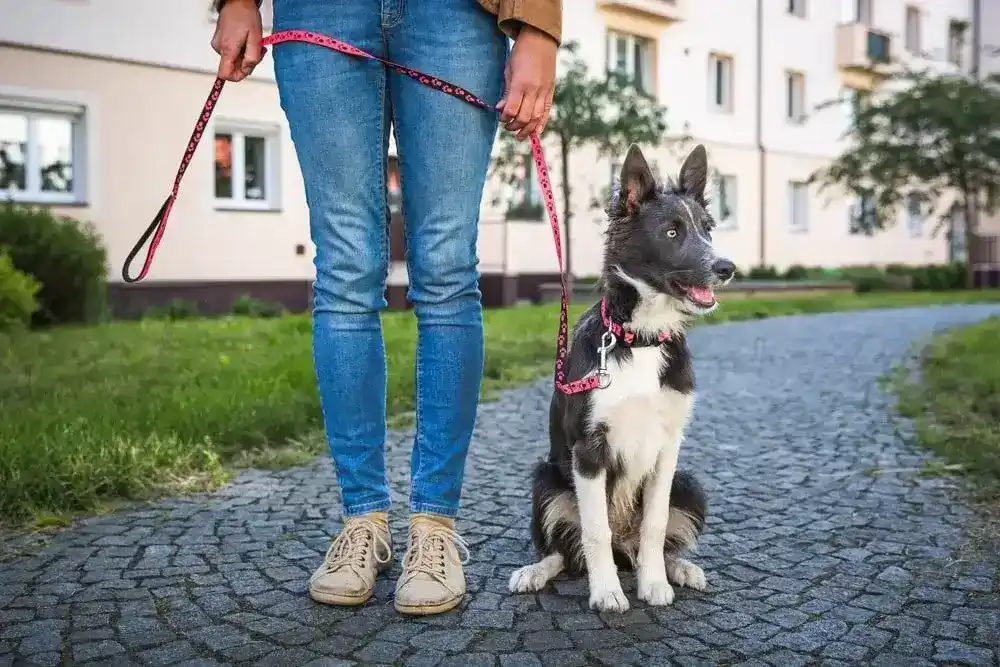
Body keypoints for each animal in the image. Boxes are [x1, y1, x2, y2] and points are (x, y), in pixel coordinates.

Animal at [508, 144, 736, 612]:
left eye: (707, 230)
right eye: (672, 232)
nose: (727, 267)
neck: (642, 337)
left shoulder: (668, 449)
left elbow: (655, 524)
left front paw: (654, 584)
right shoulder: (588, 451)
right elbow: (595, 531)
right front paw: (606, 592)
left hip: (689, 482)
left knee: (652, 543)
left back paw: (680, 569)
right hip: (546, 481)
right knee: (564, 551)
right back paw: (535, 572)